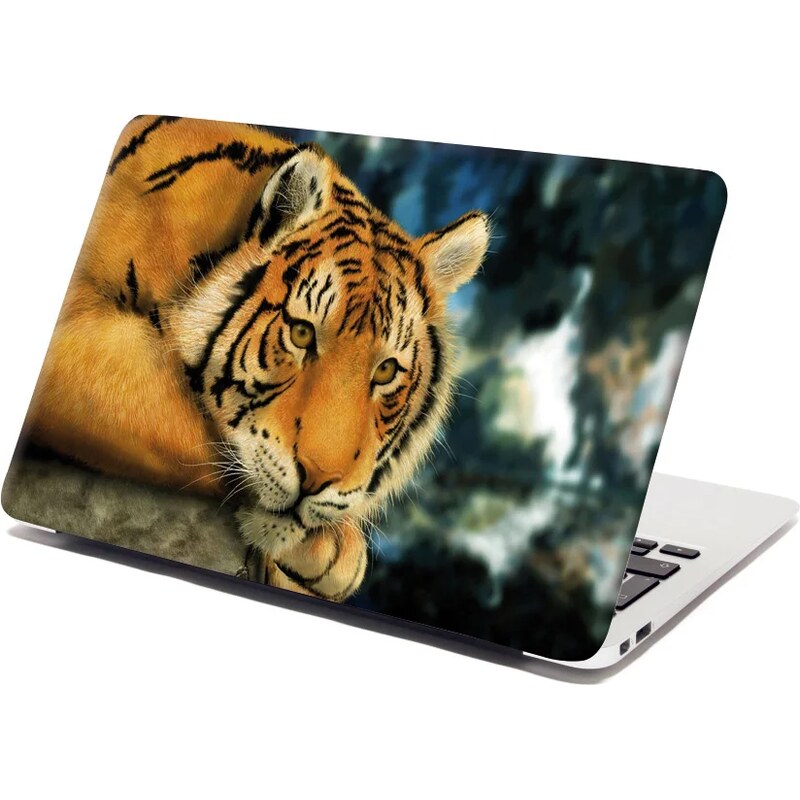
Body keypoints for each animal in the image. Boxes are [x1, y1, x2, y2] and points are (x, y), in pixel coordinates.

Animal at [22, 115, 490, 601]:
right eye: (301, 333)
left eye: (385, 371)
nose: (318, 480)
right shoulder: (80, 331)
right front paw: (335, 551)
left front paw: (335, 550)